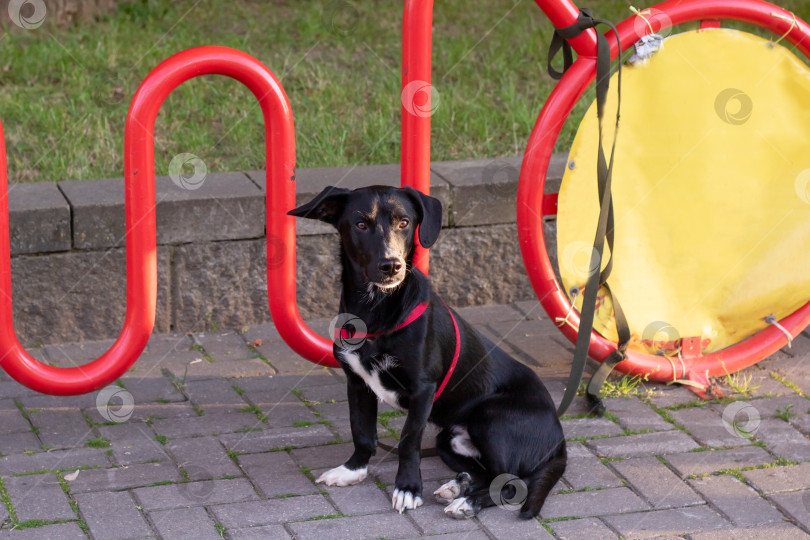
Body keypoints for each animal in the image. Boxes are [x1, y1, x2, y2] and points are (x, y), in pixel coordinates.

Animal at [288, 186, 560, 520]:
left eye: (404, 222)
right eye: (361, 224)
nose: (391, 265)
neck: (376, 310)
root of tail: (560, 439)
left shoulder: (423, 390)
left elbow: (408, 440)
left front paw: (407, 488)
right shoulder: (357, 383)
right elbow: (362, 432)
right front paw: (353, 470)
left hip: (491, 417)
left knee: (511, 483)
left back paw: (466, 502)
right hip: (448, 440)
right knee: (488, 474)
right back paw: (458, 486)